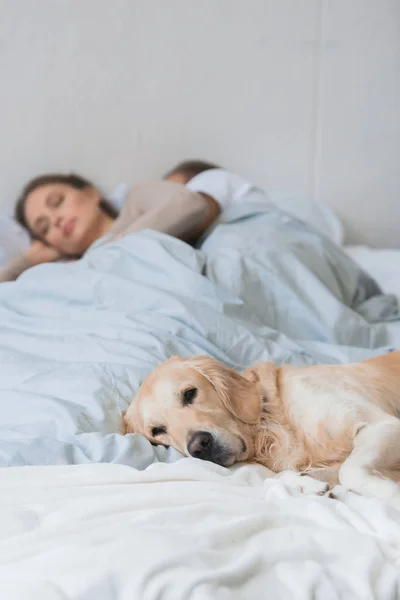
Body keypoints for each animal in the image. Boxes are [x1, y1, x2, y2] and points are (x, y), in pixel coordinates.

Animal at [122, 354, 400, 504]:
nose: (199, 446)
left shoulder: (384, 425)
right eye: (157, 430)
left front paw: (392, 495)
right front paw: (310, 485)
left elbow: (350, 471)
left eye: (190, 393)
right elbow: (279, 476)